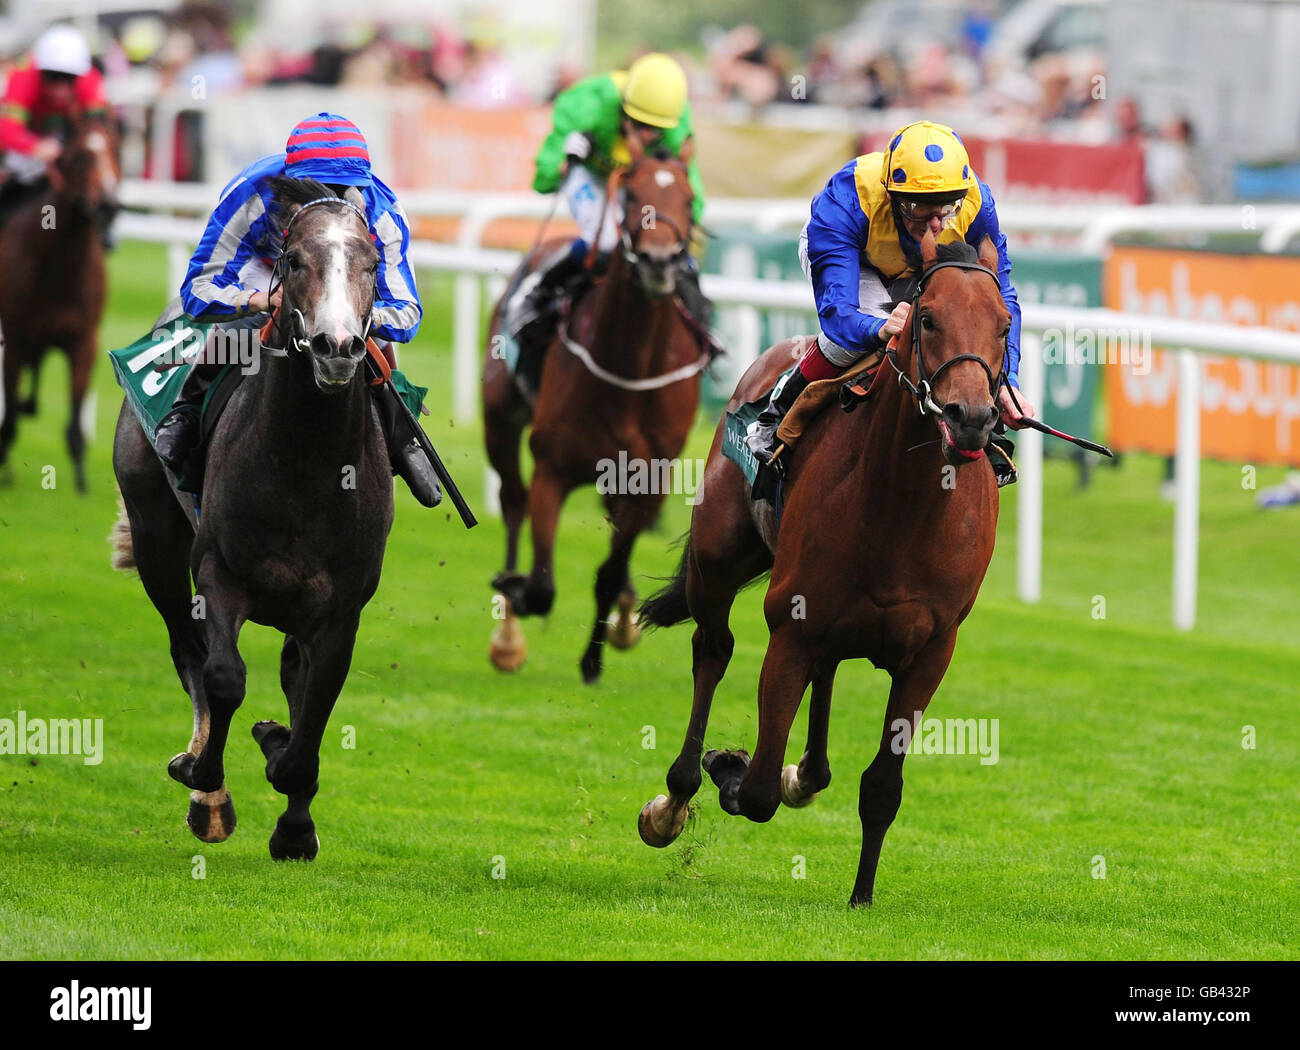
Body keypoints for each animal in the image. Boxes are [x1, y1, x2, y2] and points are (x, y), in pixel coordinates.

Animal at [0, 115, 117, 491]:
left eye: (116, 149)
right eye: (81, 155)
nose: (108, 204)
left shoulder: (84, 341)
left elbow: (76, 421)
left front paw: (81, 483)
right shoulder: (15, 342)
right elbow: (10, 418)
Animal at [111, 176, 390, 857]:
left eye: (372, 264)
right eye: (293, 262)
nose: (337, 348)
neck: (307, 466)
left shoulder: (340, 610)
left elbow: (312, 710)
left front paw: (294, 819)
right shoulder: (219, 574)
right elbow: (224, 677)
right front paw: (205, 779)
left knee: (290, 674)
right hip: (155, 532)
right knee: (186, 647)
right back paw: (206, 788)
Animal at [483, 137, 712, 680]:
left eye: (689, 198)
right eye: (629, 194)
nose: (658, 262)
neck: (628, 369)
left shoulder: (649, 477)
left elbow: (610, 569)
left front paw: (595, 655)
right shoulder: (552, 469)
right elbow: (542, 585)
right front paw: (516, 594)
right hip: (499, 418)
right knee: (512, 500)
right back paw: (507, 635)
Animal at [634, 233, 1008, 904]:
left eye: (1005, 325)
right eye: (928, 318)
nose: (970, 417)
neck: (905, 502)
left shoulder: (931, 651)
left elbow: (882, 787)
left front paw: (862, 894)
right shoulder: (791, 626)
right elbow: (755, 790)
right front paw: (727, 766)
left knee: (825, 675)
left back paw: (803, 774)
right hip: (718, 559)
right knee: (713, 648)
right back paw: (673, 801)